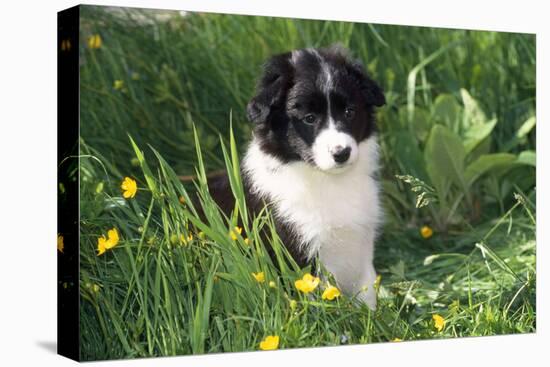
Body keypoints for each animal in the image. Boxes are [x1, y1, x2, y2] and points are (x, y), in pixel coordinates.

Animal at [209, 45, 386, 310]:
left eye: (350, 112)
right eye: (309, 118)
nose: (341, 153)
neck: (327, 180)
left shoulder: (361, 245)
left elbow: (367, 295)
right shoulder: (298, 251)